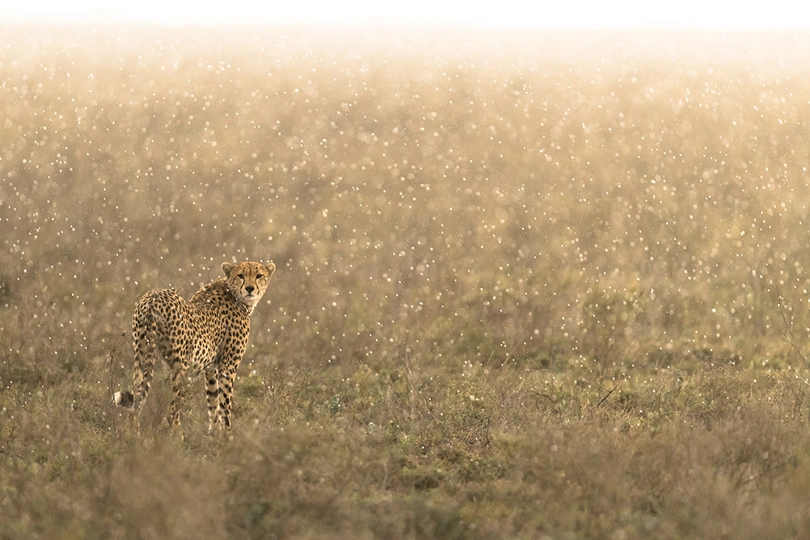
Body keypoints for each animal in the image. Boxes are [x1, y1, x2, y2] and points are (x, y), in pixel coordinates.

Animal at [113, 260, 276, 433]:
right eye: (241, 275)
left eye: (259, 276)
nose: (250, 288)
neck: (234, 294)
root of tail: (153, 297)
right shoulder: (228, 367)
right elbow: (225, 405)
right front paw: (227, 435)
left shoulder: (211, 368)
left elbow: (213, 403)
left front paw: (214, 434)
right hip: (181, 367)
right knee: (172, 412)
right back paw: (177, 438)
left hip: (141, 356)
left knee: (136, 405)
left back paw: (132, 436)